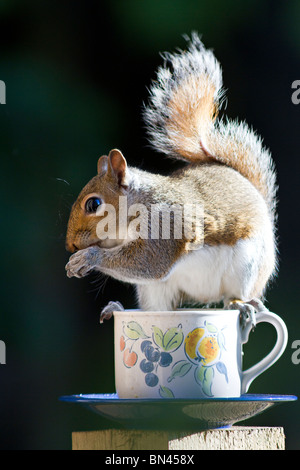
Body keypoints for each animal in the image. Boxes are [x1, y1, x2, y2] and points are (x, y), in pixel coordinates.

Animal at [65, 33, 276, 324]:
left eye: (94, 204)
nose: (70, 245)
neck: (140, 204)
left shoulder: (167, 224)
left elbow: (149, 262)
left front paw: (88, 258)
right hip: (158, 290)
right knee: (157, 308)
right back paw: (118, 309)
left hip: (248, 265)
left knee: (235, 296)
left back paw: (241, 305)